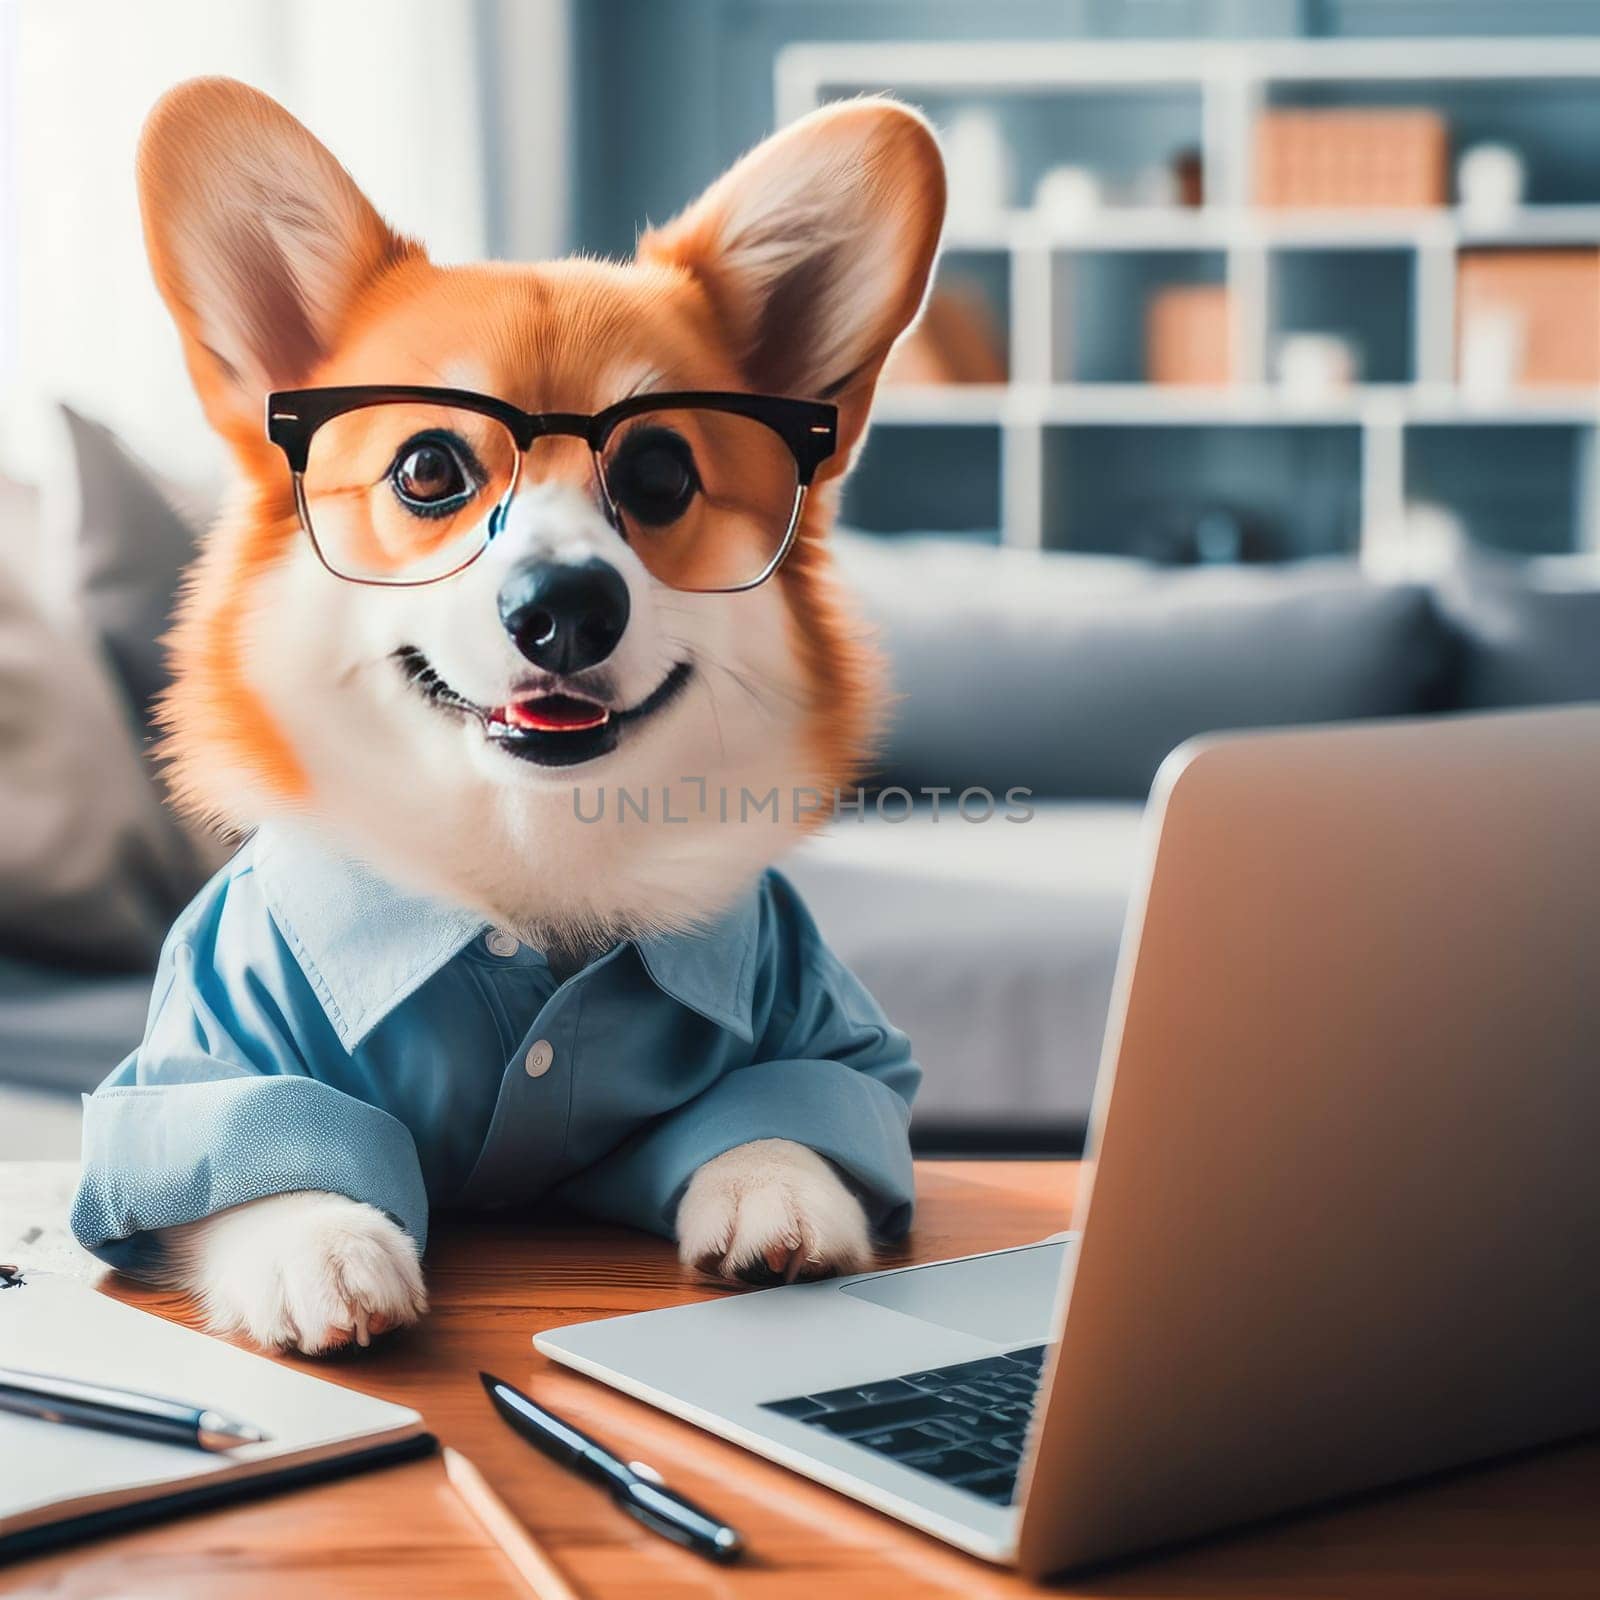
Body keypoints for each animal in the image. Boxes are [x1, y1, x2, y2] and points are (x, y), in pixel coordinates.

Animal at [121, 78, 947, 1350]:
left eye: (659, 475)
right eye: (427, 471)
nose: (564, 607)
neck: (530, 850)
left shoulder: (815, 1008)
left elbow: (799, 1099)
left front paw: (775, 1186)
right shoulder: (209, 1030)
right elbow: (244, 1136)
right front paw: (320, 1242)